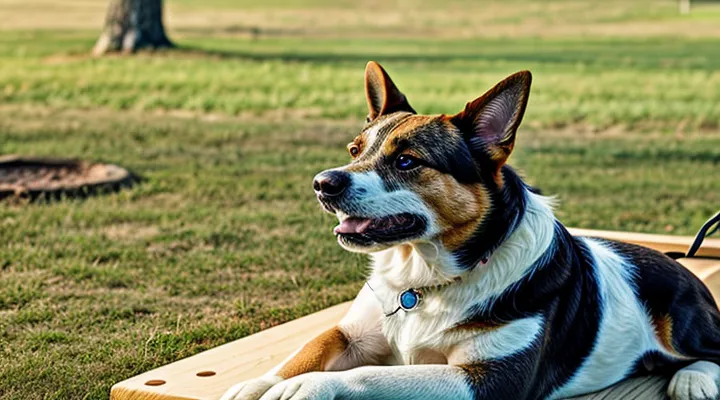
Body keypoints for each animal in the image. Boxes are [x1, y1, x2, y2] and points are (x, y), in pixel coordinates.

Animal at [221, 62, 720, 400]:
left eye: (407, 161)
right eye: (354, 150)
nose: (323, 183)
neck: (423, 282)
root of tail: (683, 267)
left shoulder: (487, 381)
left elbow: (366, 374)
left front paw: (305, 387)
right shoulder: (353, 334)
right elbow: (308, 348)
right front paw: (258, 383)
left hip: (681, 325)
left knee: (713, 350)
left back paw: (692, 378)